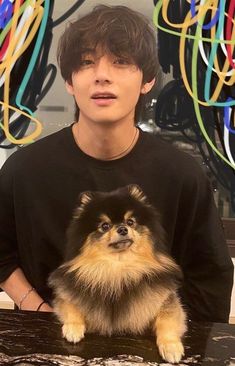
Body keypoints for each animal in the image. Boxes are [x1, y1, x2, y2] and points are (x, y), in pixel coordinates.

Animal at [48, 186, 187, 364]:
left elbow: (167, 320)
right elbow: (71, 306)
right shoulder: (68, 293)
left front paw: (171, 346)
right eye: (105, 226)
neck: (118, 269)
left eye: (130, 222)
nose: (122, 229)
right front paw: (73, 328)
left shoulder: (165, 299)